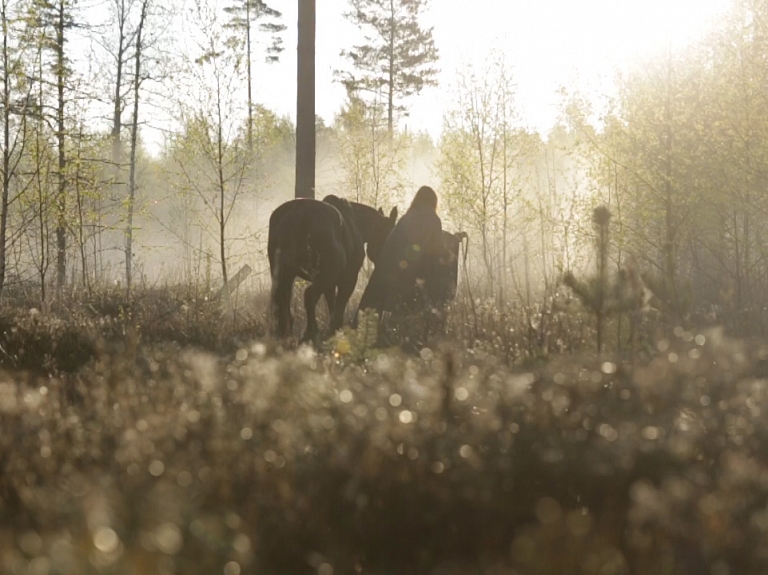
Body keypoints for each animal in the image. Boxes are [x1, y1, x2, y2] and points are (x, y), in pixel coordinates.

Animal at [268, 196, 396, 344]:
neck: (358, 224)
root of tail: (296, 214)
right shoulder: (348, 278)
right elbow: (339, 305)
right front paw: (336, 330)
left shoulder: (332, 282)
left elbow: (331, 303)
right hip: (322, 276)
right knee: (308, 295)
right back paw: (310, 333)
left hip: (284, 274)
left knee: (281, 298)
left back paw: (284, 333)